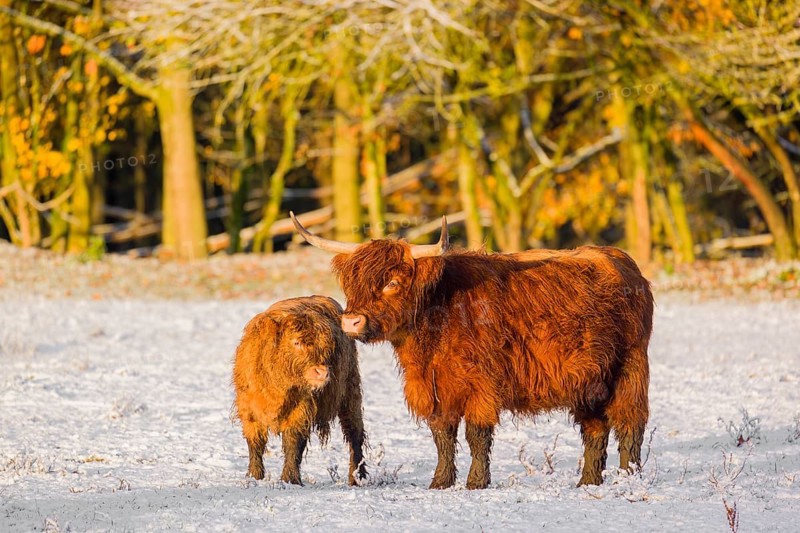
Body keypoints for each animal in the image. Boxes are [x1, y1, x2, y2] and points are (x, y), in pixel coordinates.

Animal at [232, 295, 367, 485]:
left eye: (326, 347)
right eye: (296, 342)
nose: (322, 372)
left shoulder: (301, 410)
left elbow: (293, 444)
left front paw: (290, 479)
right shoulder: (248, 409)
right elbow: (255, 444)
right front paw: (254, 476)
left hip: (351, 392)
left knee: (355, 434)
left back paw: (357, 477)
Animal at [290, 212, 653, 489]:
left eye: (392, 282)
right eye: (352, 283)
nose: (351, 321)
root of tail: (621, 260)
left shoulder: (482, 385)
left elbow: (477, 435)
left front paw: (476, 482)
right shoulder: (435, 387)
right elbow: (442, 436)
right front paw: (440, 482)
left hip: (630, 367)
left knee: (630, 424)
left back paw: (628, 476)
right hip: (589, 381)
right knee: (596, 429)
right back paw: (588, 481)